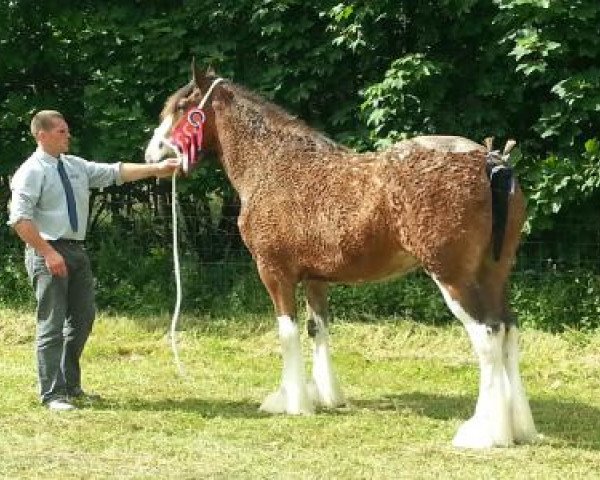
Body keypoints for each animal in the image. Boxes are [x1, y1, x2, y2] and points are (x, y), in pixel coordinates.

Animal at [144, 62, 540, 448]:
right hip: (494, 274)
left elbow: (287, 332)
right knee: (508, 330)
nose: (151, 153)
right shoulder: (316, 278)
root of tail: (490, 161)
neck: (272, 164)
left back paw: (484, 434)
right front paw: (326, 397)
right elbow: (317, 329)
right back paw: (519, 428)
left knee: (487, 334)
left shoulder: (274, 272)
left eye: (182, 108)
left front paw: (293, 403)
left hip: (453, 277)